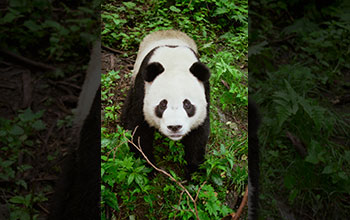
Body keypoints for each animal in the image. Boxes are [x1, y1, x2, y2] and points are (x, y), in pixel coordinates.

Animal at [121, 29, 211, 179]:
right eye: (162, 104)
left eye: (187, 104)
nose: (174, 127)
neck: (174, 63)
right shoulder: (142, 90)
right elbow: (139, 129)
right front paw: (149, 167)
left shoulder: (205, 92)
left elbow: (198, 135)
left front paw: (193, 173)